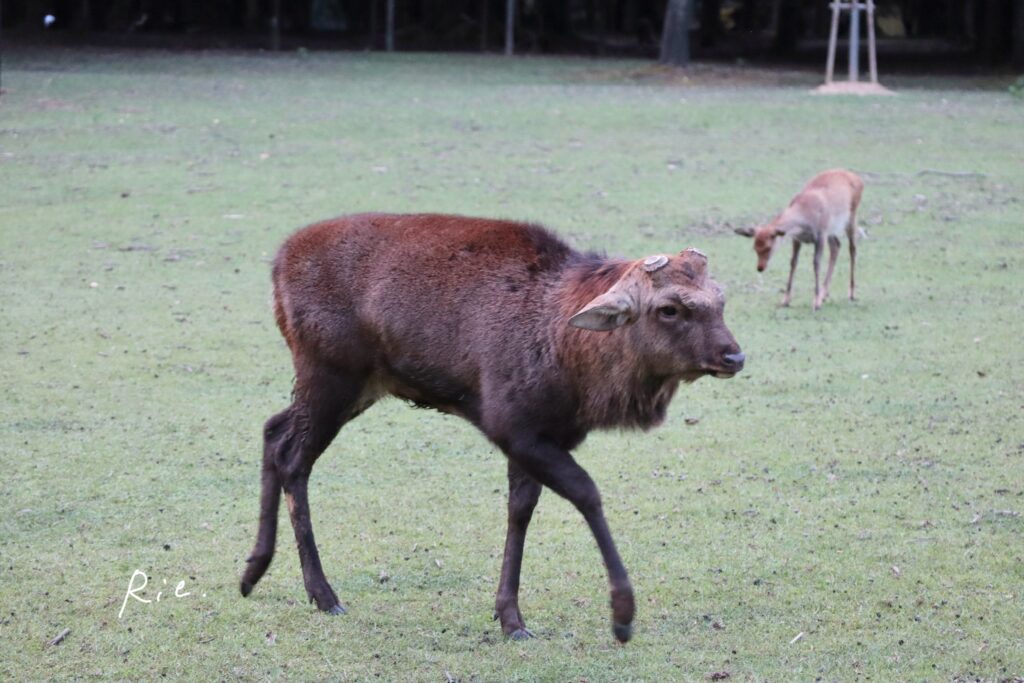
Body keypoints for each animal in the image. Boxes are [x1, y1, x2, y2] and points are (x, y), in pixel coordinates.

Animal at [240, 213, 745, 643]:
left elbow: (520, 510)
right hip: (329, 371)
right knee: (293, 456)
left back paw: (253, 572)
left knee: (273, 429)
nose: (734, 355)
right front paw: (622, 617)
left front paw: (510, 617)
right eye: (669, 308)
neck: (571, 359)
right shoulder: (510, 423)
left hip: (358, 384)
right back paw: (322, 593)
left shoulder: (546, 433)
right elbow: (586, 493)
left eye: (720, 301)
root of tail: (277, 264)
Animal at [735, 169, 864, 310]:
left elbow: (816, 263)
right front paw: (785, 300)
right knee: (836, 246)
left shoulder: (820, 235)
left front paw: (816, 303)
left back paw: (851, 294)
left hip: (851, 216)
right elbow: (793, 262)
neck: (804, 218)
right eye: (754, 247)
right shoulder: (797, 239)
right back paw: (824, 294)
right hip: (832, 230)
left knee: (852, 249)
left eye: (768, 247)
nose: (760, 267)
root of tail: (858, 178)